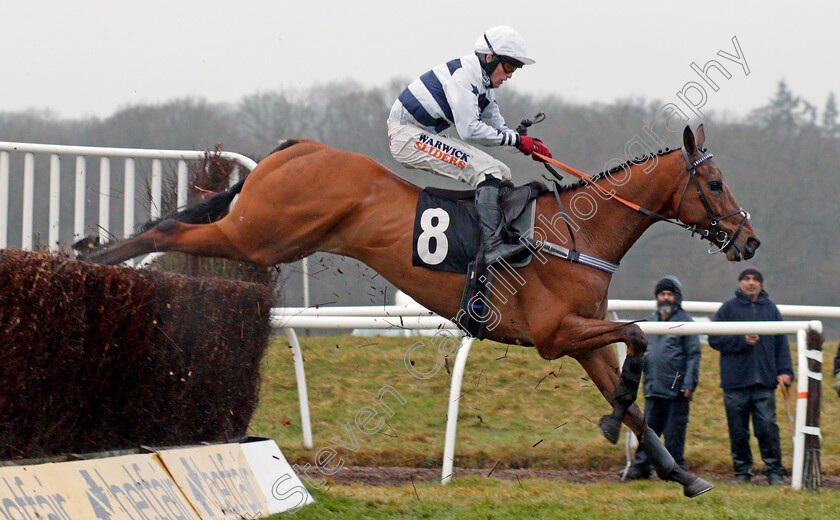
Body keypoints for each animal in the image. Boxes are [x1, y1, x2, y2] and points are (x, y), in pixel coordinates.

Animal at [85, 124, 760, 498]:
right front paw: (621, 428)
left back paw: (91, 254)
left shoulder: (582, 339)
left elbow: (636, 391)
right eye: (716, 184)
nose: (750, 242)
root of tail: (298, 148)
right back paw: (93, 259)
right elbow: (641, 332)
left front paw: (678, 472)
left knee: (174, 230)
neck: (578, 232)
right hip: (257, 235)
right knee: (167, 231)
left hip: (268, 237)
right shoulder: (554, 334)